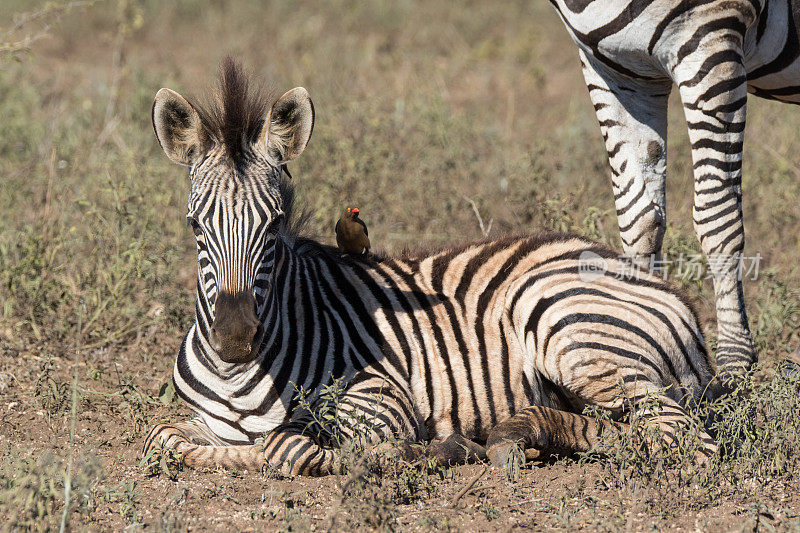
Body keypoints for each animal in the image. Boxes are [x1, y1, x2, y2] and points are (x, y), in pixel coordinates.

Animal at [142, 57, 720, 474]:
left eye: (274, 226)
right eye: (195, 226)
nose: (235, 337)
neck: (240, 375)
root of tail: (662, 286)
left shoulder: (381, 399)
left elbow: (288, 447)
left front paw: (425, 450)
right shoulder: (198, 423)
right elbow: (165, 439)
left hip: (568, 326)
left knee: (680, 440)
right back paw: (516, 436)